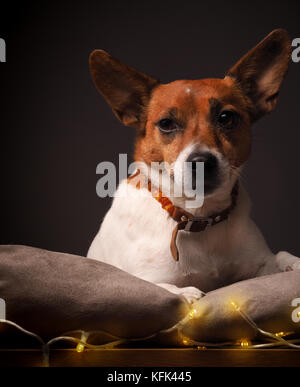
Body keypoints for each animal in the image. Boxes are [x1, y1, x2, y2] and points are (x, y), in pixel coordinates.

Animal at [86, 30, 300, 304]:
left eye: (226, 118)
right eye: (166, 123)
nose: (201, 162)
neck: (199, 217)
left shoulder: (258, 266)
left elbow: (278, 258)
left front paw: (292, 263)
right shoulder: (146, 279)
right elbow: (170, 289)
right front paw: (187, 293)